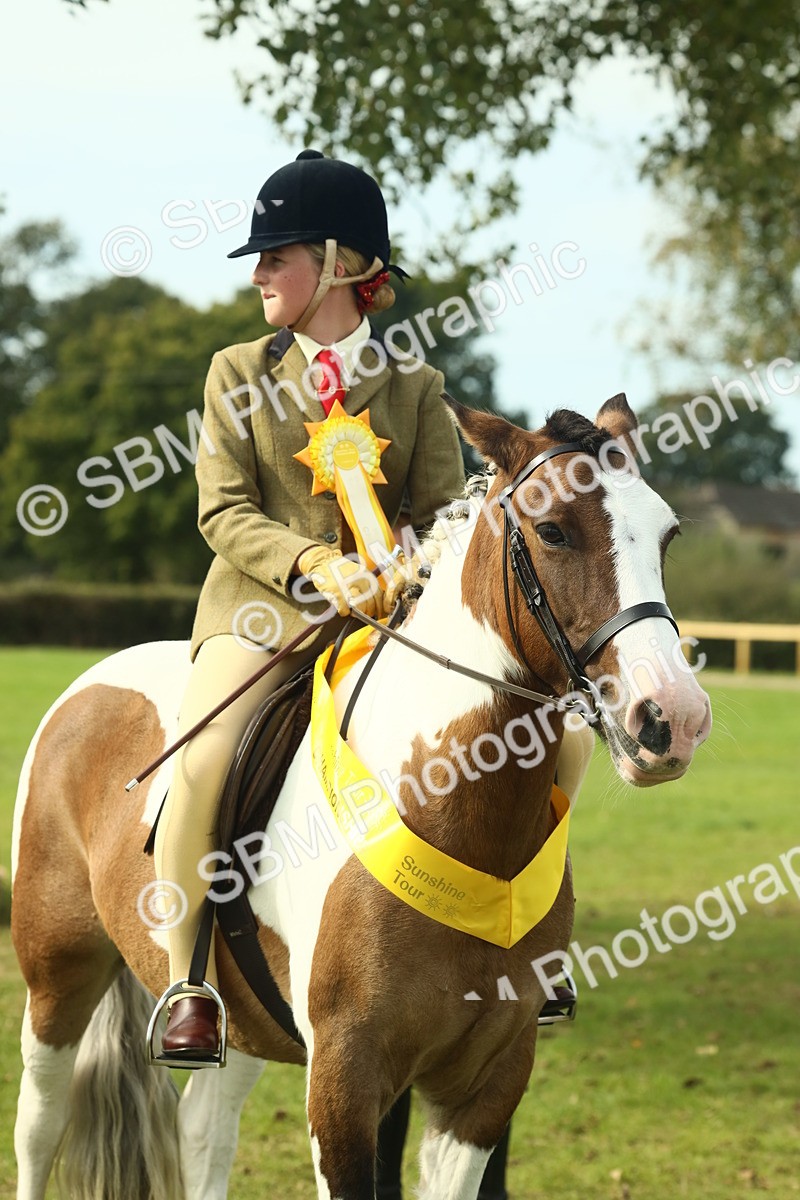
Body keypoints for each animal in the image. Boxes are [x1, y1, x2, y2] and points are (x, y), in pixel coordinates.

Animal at [11, 394, 711, 1200]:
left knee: (204, 1131)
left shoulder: (487, 1082)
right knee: (40, 1123)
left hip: (243, 1018)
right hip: (58, 971)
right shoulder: (345, 1082)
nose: (673, 718)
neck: (453, 813)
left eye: (667, 535)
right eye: (553, 529)